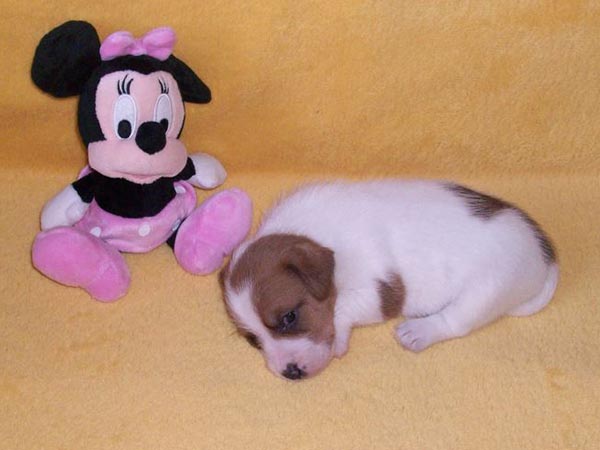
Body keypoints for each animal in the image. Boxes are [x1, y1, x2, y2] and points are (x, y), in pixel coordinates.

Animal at [220, 180, 558, 380]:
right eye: (253, 341)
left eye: (289, 317)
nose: (288, 372)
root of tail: (544, 256)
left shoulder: (382, 291)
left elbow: (343, 308)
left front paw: (339, 337)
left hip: (488, 288)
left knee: (456, 321)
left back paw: (419, 330)